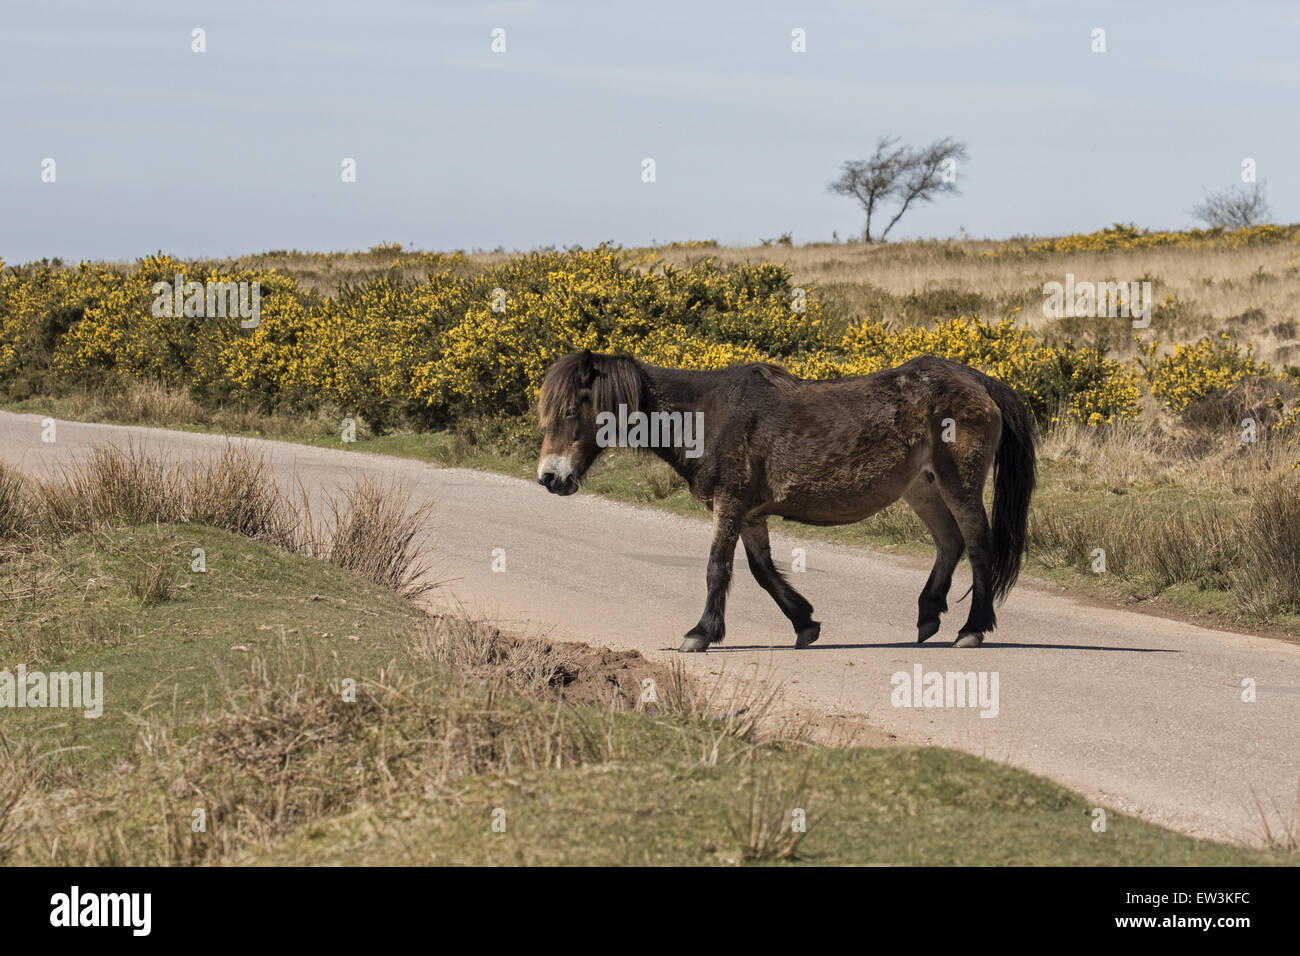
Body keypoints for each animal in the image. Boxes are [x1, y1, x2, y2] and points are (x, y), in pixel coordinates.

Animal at [536, 349, 1036, 652]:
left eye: (570, 410)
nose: (548, 477)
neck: (705, 416)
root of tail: (978, 381)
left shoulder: (729, 505)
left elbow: (717, 568)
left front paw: (701, 633)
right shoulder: (749, 513)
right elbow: (761, 571)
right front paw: (805, 623)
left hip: (958, 485)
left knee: (978, 547)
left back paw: (972, 629)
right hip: (923, 488)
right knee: (950, 544)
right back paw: (929, 616)